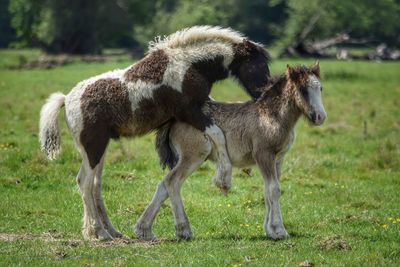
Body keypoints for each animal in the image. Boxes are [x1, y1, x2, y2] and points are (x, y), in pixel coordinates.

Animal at [137, 63, 324, 241]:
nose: (320, 117)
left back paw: (144, 230)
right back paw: (183, 230)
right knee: (172, 182)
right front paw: (279, 231)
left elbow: (268, 191)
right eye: (303, 90)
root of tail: (174, 119)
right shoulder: (264, 155)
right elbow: (274, 190)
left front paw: (269, 230)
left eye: (320, 88)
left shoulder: (278, 158)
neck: (271, 116)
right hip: (194, 156)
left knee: (163, 185)